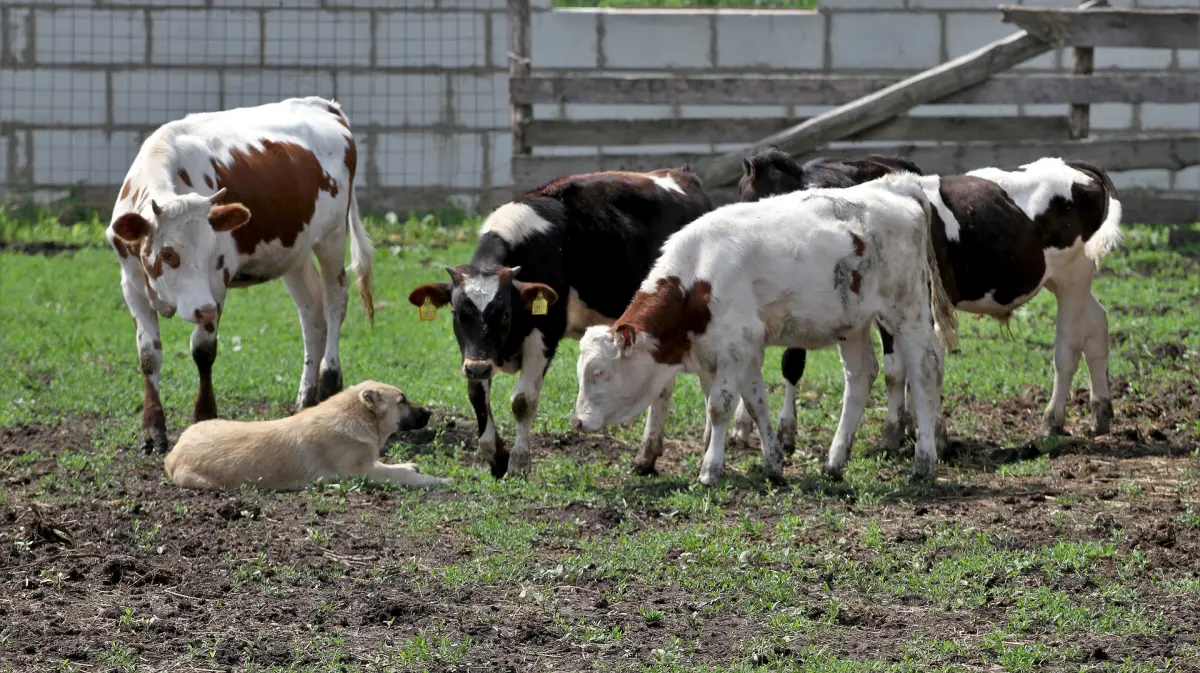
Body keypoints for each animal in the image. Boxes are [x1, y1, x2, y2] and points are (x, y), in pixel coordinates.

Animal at [106, 97, 374, 453]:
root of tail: (324, 106)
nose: (203, 309)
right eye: (168, 253)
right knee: (311, 313)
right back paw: (306, 397)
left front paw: (205, 418)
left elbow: (203, 350)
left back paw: (329, 379)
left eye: (210, 252)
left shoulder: (217, 281)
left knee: (334, 301)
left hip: (332, 237)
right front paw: (153, 431)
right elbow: (149, 355)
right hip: (294, 252)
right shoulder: (132, 284)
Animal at [162, 381, 451, 491]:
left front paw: (410, 464)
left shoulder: (368, 464)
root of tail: (171, 455)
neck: (358, 417)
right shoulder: (359, 473)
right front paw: (437, 480)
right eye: (402, 400)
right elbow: (401, 476)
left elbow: (393, 466)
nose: (429, 412)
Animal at [410, 167, 710, 477]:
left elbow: (523, 401)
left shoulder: (544, 333)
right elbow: (477, 395)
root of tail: (678, 174)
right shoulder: (477, 352)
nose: (478, 368)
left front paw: (519, 463)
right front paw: (496, 456)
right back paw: (646, 457)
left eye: (505, 313)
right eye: (457, 313)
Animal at [571, 172, 955, 482]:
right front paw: (773, 463)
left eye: (599, 372)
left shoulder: (735, 345)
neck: (699, 277)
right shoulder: (742, 349)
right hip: (853, 322)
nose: (577, 422)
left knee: (925, 368)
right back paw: (834, 462)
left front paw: (710, 470)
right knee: (861, 376)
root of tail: (894, 185)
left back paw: (924, 460)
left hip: (906, 310)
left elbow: (719, 406)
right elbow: (755, 403)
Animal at [734, 146, 1118, 451]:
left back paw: (1052, 421)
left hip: (1072, 276)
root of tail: (1071, 164)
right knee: (1097, 326)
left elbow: (903, 366)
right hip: (1065, 281)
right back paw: (1100, 412)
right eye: (747, 198)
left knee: (1068, 345)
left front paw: (912, 433)